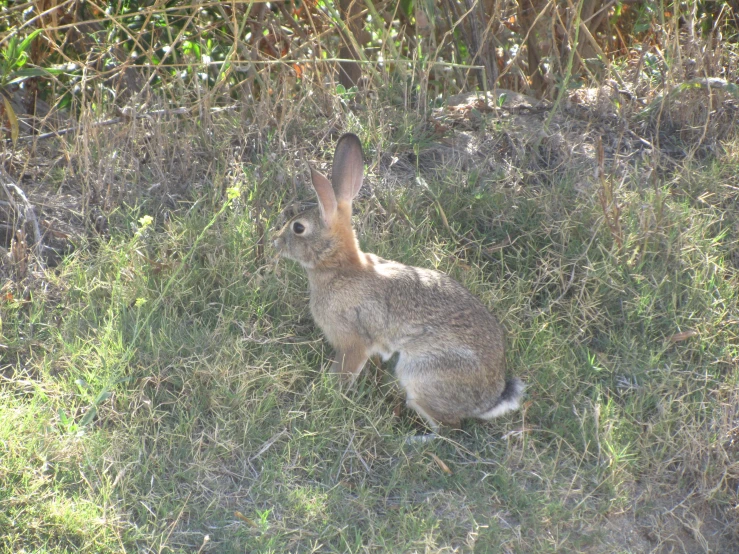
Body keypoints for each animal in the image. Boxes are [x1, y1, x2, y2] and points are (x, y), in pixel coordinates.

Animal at [274, 134, 528, 432]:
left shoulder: (353, 340)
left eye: (298, 228)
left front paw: (330, 392)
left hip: (420, 375)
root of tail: (488, 401)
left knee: (448, 427)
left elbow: (346, 370)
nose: (276, 241)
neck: (340, 267)